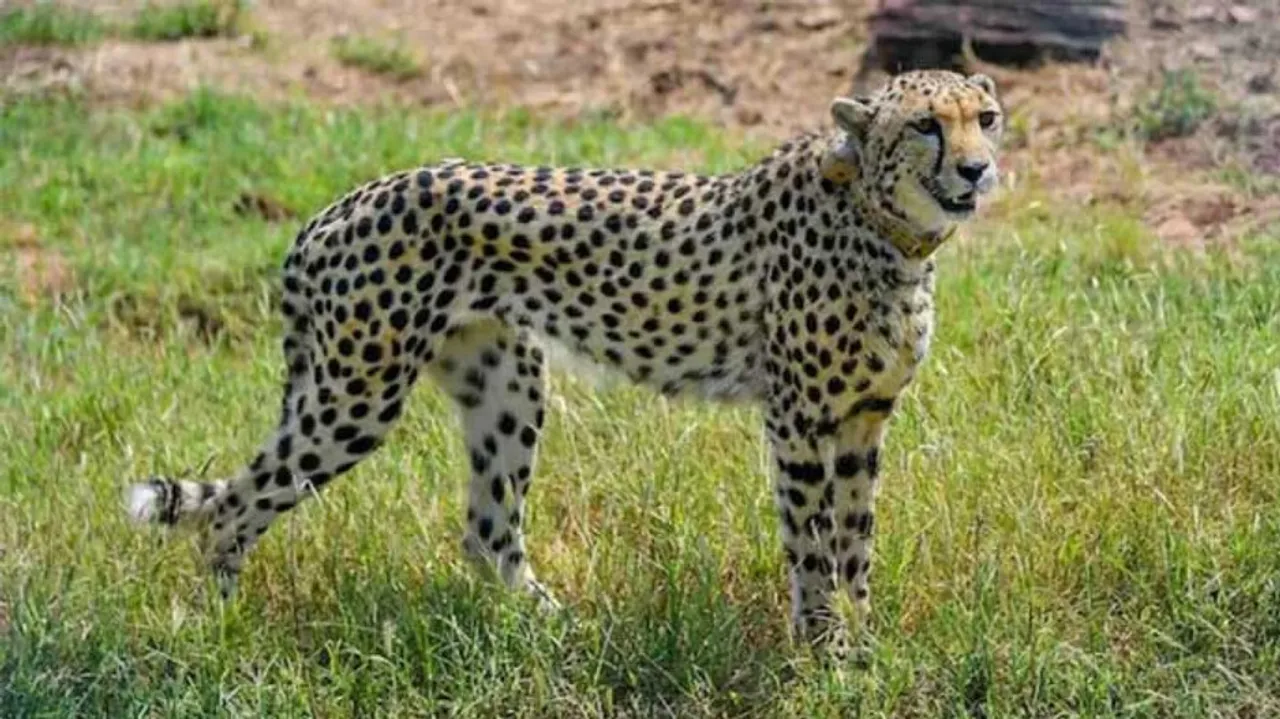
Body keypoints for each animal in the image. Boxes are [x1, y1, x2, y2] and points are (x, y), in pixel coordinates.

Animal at [125, 69, 1004, 652]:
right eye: (926, 125)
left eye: (987, 117)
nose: (977, 167)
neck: (887, 229)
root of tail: (338, 205)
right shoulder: (798, 419)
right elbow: (813, 544)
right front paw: (827, 651)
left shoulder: (863, 418)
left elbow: (856, 541)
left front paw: (865, 643)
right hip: (356, 394)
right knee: (235, 506)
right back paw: (222, 628)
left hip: (506, 382)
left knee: (487, 531)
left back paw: (558, 630)